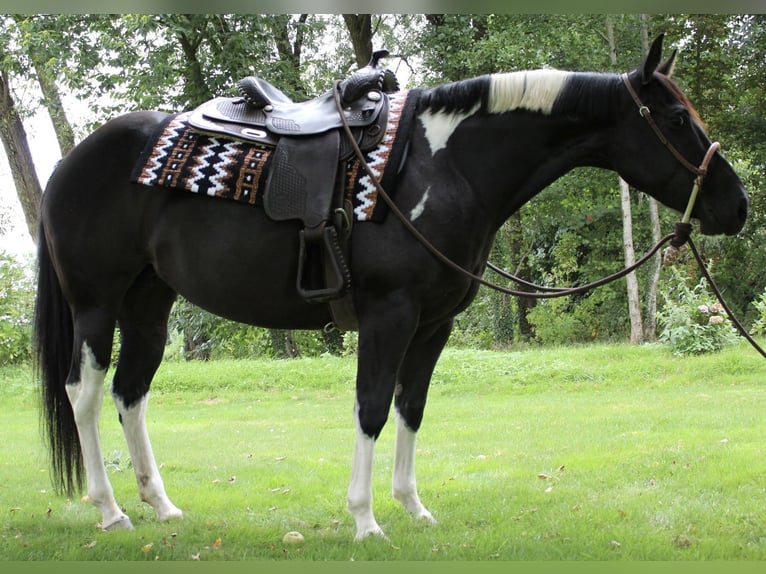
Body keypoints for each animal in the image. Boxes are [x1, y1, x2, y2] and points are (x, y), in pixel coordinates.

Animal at [34, 34, 748, 540]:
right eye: (676, 119)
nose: (736, 206)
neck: (442, 165)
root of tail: (72, 161)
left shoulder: (434, 323)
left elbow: (411, 407)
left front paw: (413, 507)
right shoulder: (390, 315)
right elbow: (372, 407)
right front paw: (365, 518)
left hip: (149, 304)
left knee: (130, 393)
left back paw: (161, 505)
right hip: (96, 304)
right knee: (85, 394)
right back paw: (110, 510)